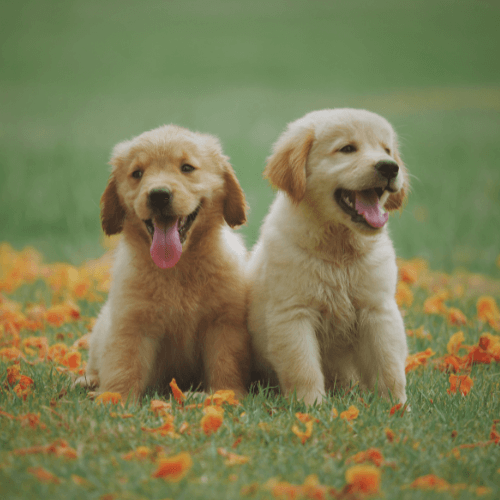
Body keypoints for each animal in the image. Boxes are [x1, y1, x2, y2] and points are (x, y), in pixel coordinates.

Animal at [74, 126, 252, 402]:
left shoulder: (224, 323)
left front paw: (225, 394)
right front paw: (114, 398)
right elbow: (123, 364)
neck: (177, 269)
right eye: (137, 173)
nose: (158, 195)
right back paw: (88, 381)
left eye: (187, 168)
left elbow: (225, 362)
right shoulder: (131, 323)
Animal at [249, 108, 410, 406]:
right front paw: (310, 406)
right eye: (347, 149)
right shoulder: (293, 313)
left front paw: (397, 406)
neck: (339, 250)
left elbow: (389, 364)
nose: (389, 167)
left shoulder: (378, 309)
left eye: (387, 150)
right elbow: (303, 366)